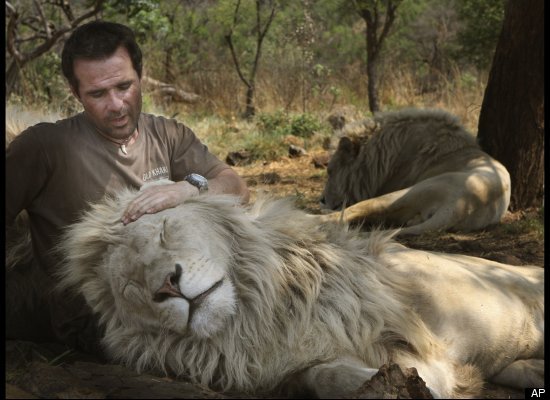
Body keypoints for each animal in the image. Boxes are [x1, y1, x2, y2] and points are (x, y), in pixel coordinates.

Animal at [54, 190, 544, 396]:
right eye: (130, 287)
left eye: (163, 230)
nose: (166, 285)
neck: (252, 316)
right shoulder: (281, 369)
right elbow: (325, 376)